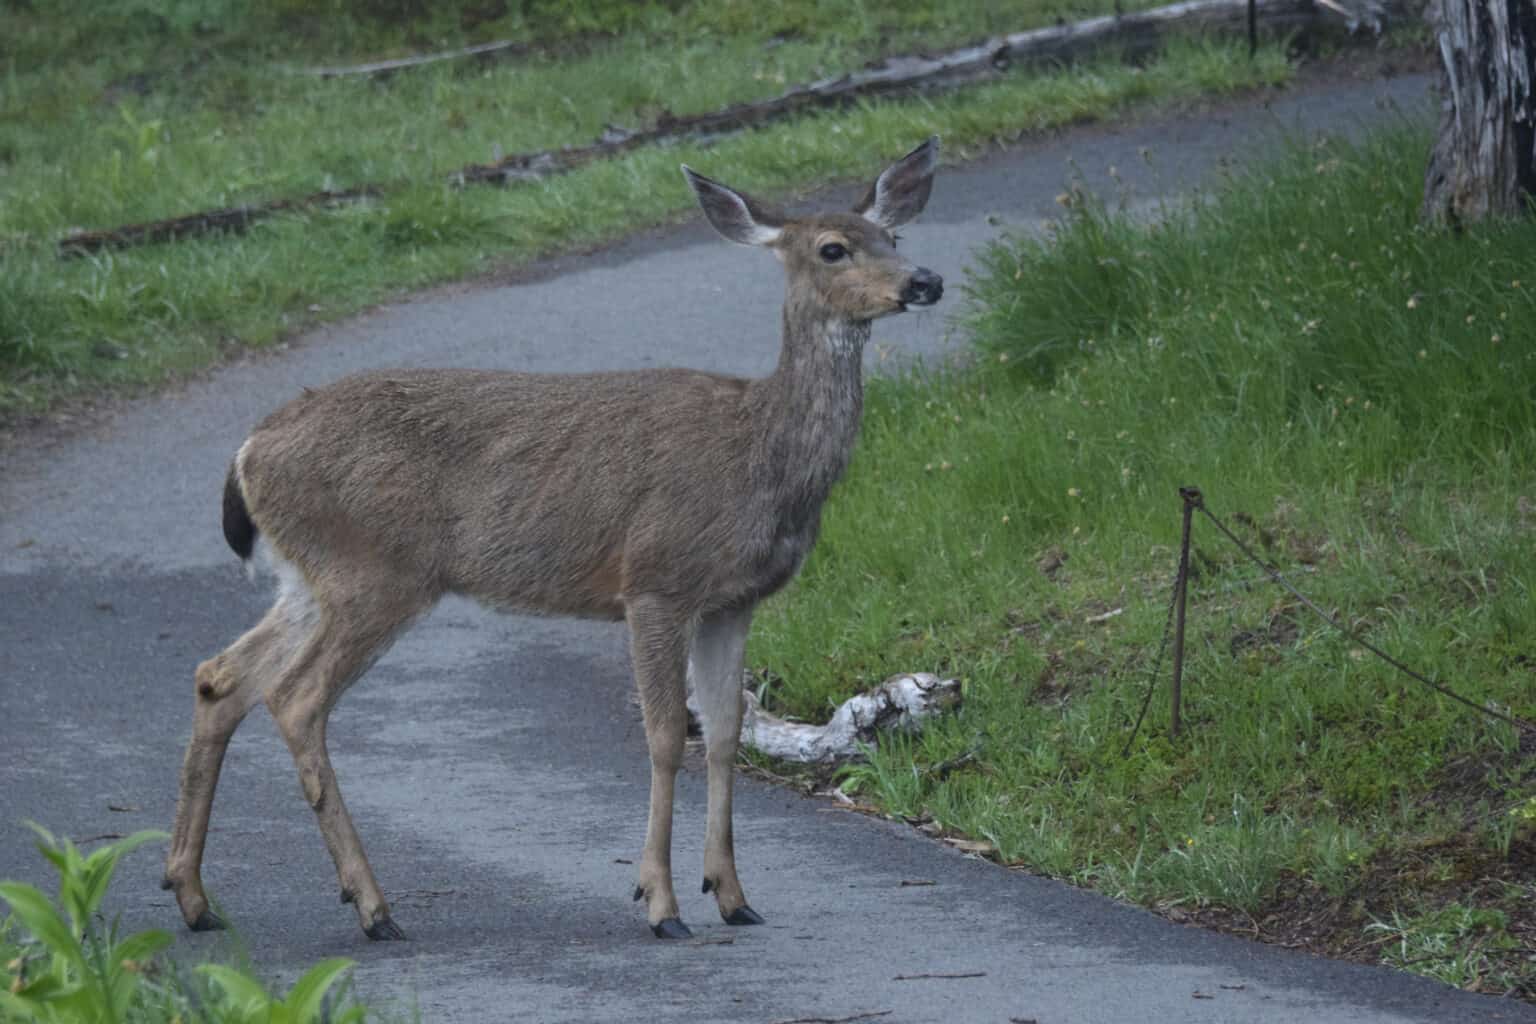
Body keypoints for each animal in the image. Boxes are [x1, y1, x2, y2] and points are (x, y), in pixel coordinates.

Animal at [162, 138, 940, 945]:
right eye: (833, 248)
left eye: (895, 235)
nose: (926, 281)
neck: (761, 454)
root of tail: (250, 449)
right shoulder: (655, 579)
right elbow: (668, 737)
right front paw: (660, 903)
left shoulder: (733, 601)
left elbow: (724, 733)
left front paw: (731, 893)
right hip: (372, 570)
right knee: (294, 698)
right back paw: (373, 907)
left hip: (311, 577)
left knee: (222, 676)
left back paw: (194, 897)